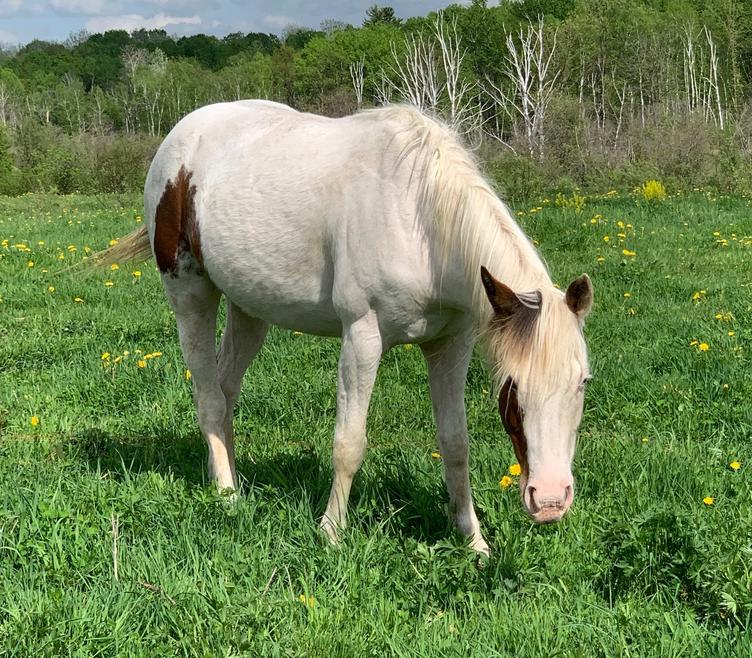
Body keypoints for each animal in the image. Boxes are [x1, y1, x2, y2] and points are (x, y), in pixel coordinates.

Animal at [101, 100, 593, 555]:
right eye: (513, 386)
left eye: (583, 382)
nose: (551, 500)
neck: (419, 220)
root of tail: (179, 138)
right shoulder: (362, 338)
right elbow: (349, 443)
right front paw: (331, 534)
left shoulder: (451, 345)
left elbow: (456, 446)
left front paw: (473, 543)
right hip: (189, 295)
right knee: (208, 397)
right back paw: (226, 495)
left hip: (249, 309)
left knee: (225, 393)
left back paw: (226, 477)